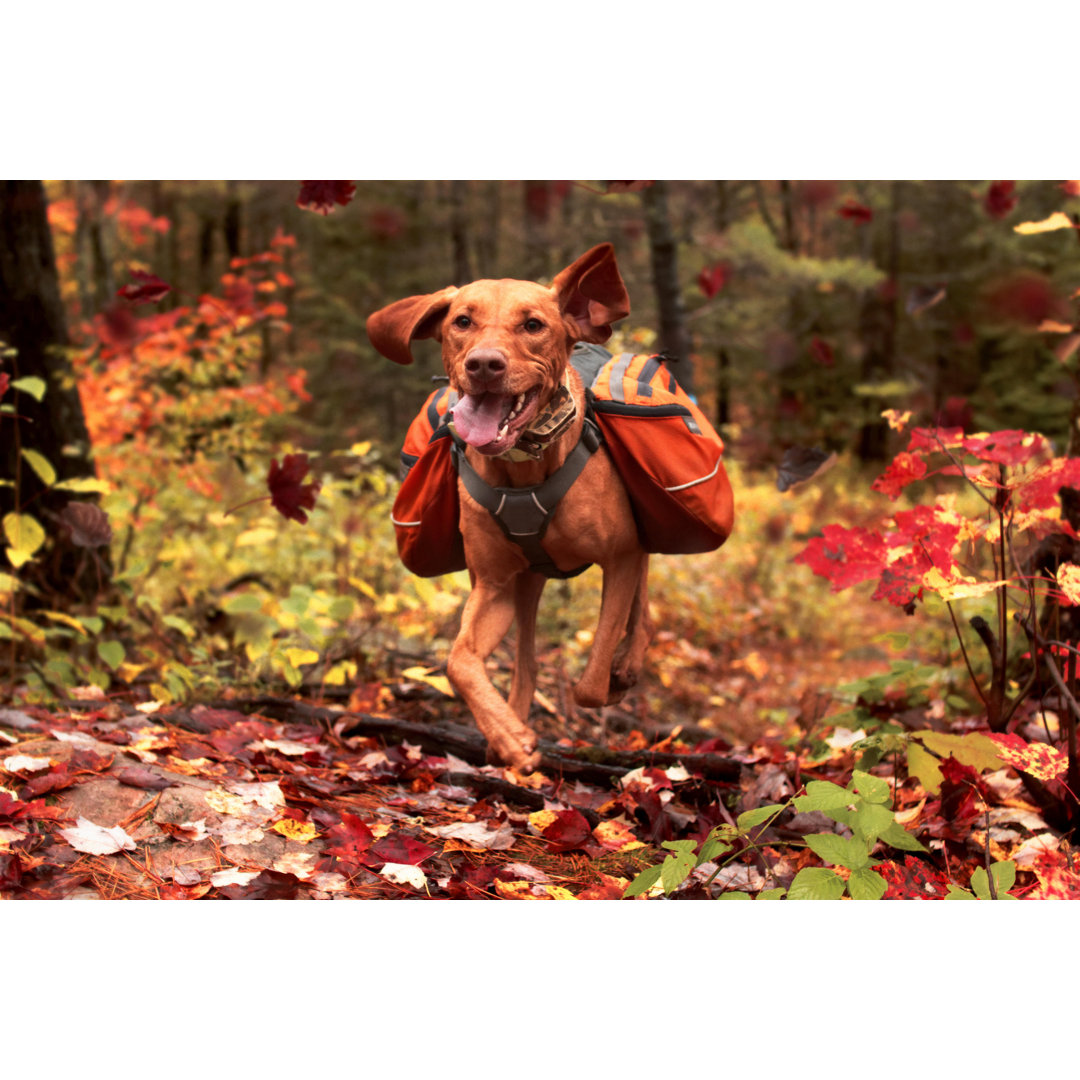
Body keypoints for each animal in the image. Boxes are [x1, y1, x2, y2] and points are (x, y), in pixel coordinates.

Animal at [367, 245, 656, 768]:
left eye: (534, 325)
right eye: (462, 321)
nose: (484, 364)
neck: (524, 470)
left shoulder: (621, 555)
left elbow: (589, 683)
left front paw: (615, 675)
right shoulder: (495, 585)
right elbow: (459, 661)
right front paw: (508, 736)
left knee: (642, 593)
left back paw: (627, 661)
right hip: (526, 583)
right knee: (526, 659)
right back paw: (512, 721)